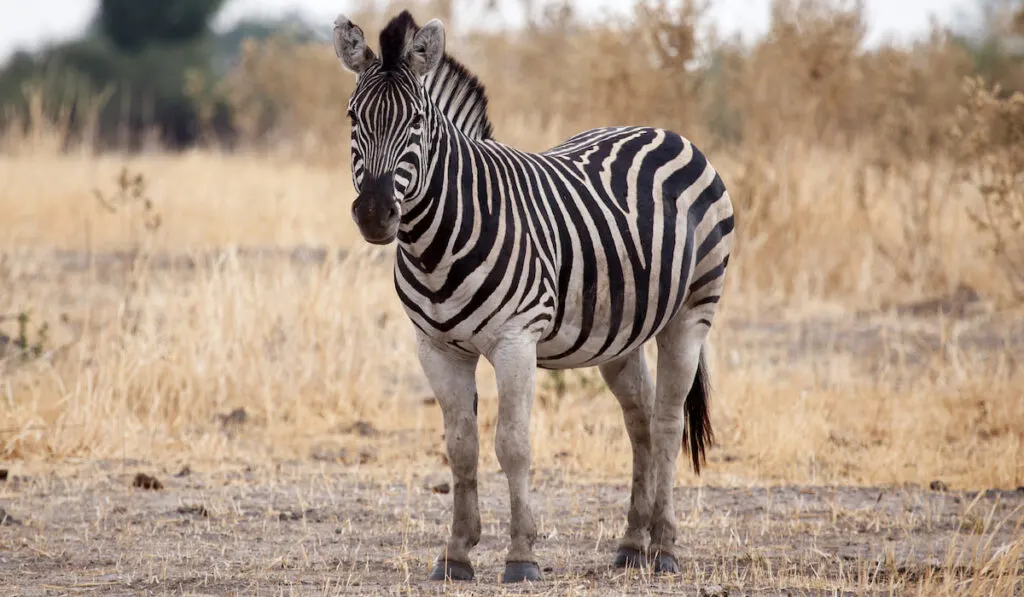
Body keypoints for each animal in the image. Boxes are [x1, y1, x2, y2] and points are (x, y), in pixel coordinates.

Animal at [335, 11, 737, 585]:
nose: (374, 214)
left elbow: (513, 444)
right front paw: (455, 555)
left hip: (691, 313)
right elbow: (461, 447)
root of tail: (665, 132)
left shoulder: (515, 341)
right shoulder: (435, 348)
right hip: (619, 334)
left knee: (666, 422)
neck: (436, 241)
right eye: (352, 117)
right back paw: (631, 545)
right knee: (638, 420)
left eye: (416, 122)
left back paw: (664, 548)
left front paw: (521, 555)